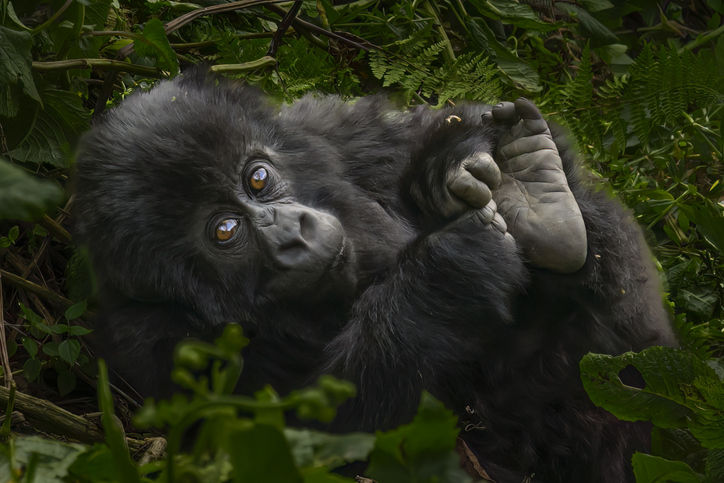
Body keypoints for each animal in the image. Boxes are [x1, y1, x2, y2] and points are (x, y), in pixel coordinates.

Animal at [73, 73, 672, 483]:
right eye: (224, 230)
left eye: (258, 177)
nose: (293, 234)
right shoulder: (153, 345)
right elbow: (317, 438)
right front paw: (452, 267)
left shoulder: (332, 127)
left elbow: (411, 137)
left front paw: (448, 166)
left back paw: (544, 206)